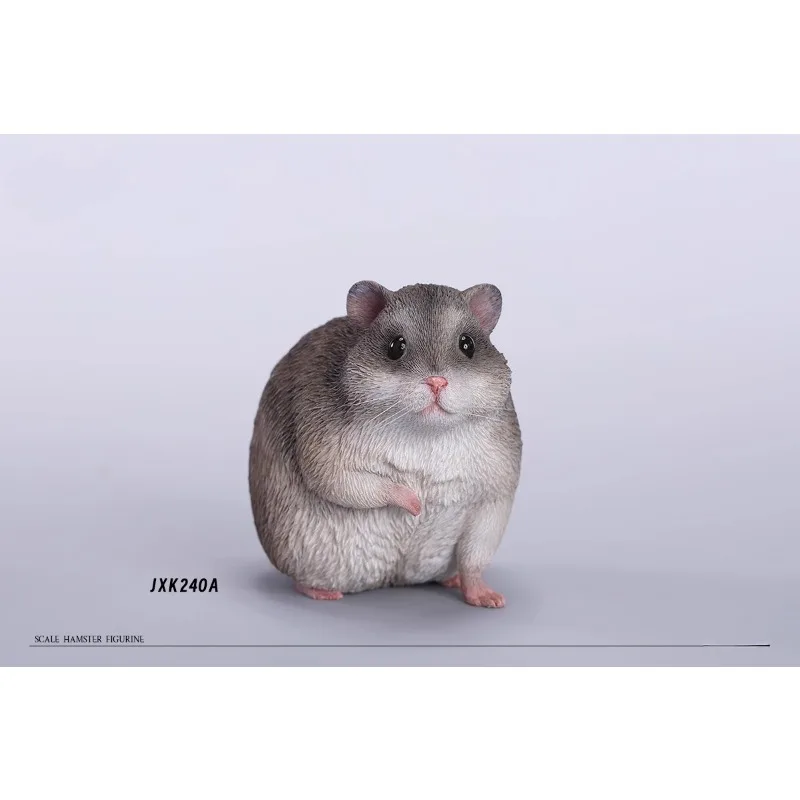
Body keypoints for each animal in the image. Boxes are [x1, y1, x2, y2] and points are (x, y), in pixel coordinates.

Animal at [248, 281, 522, 608]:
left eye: (467, 345)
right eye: (395, 347)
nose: (437, 382)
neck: (426, 433)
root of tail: (395, 579)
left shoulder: (496, 489)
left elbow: (475, 556)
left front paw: (488, 598)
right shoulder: (323, 449)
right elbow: (352, 484)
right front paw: (417, 505)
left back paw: (452, 580)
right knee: (302, 580)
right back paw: (321, 592)